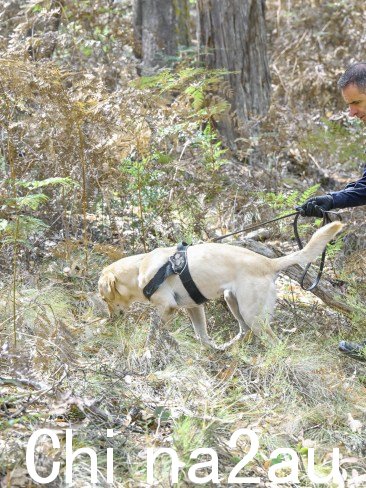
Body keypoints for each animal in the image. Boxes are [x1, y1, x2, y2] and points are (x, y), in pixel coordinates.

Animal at [98, 221, 344, 350]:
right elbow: (202, 334)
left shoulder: (167, 306)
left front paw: (151, 345)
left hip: (252, 313)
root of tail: (268, 262)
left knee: (272, 341)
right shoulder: (194, 308)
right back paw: (226, 348)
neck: (140, 268)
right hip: (232, 301)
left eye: (104, 299)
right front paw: (206, 350)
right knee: (243, 330)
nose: (110, 320)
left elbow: (156, 327)